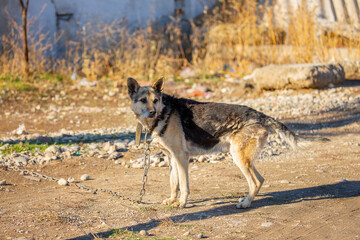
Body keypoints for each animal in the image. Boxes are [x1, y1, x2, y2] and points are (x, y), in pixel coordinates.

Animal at [127, 77, 330, 208]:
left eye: (156, 100)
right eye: (143, 100)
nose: (152, 112)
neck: (164, 114)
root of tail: (261, 115)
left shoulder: (181, 158)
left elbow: (184, 185)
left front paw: (182, 203)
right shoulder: (172, 159)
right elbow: (173, 183)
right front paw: (172, 200)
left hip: (239, 158)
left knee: (255, 182)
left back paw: (246, 204)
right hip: (243, 159)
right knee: (260, 180)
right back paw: (246, 201)